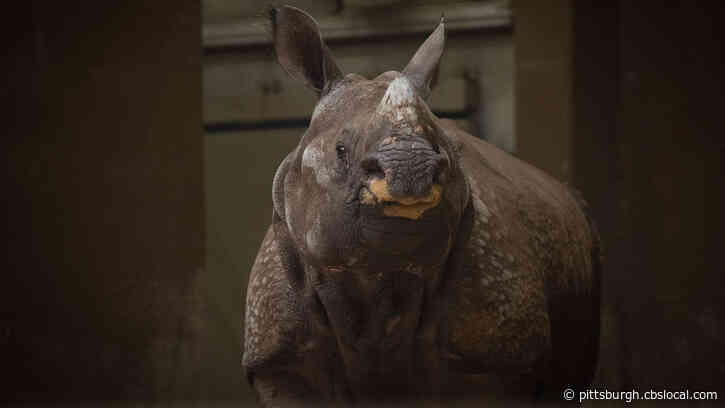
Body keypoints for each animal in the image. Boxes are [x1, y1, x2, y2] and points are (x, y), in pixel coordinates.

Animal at [243, 5, 601, 406]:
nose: (410, 168)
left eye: (440, 151)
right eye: (340, 151)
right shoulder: (280, 364)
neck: (374, 276)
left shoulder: (495, 360)